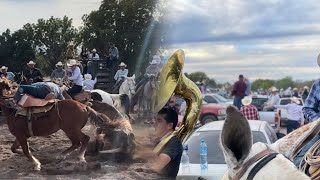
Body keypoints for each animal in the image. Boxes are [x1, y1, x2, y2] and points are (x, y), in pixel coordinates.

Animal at [0, 79, 135, 170]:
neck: (12, 110)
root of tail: (85, 106)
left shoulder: (21, 135)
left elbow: (25, 151)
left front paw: (36, 164)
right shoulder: (21, 136)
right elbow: (14, 149)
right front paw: (34, 154)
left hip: (70, 129)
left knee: (83, 139)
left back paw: (79, 158)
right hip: (70, 130)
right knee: (77, 142)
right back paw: (64, 155)